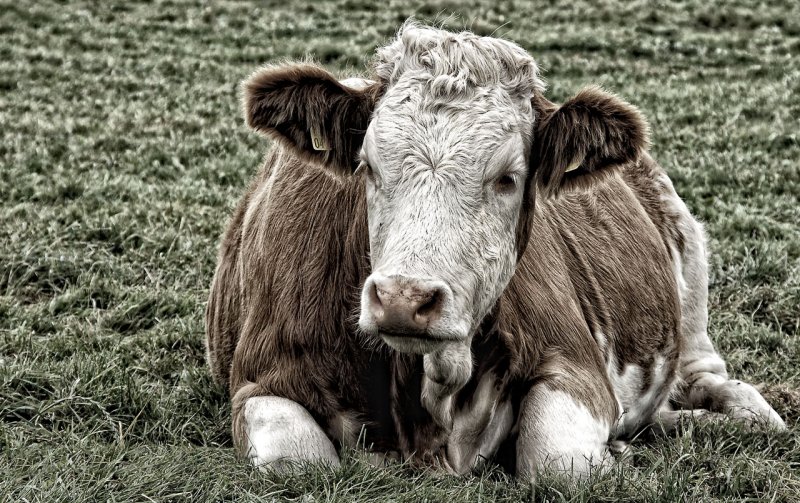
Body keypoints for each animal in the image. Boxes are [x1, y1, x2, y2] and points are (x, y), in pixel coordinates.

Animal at [203, 21, 784, 480]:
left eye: (508, 178)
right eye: (367, 165)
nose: (403, 298)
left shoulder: (575, 365)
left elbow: (558, 464)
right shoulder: (261, 376)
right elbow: (298, 465)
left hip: (690, 275)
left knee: (727, 391)